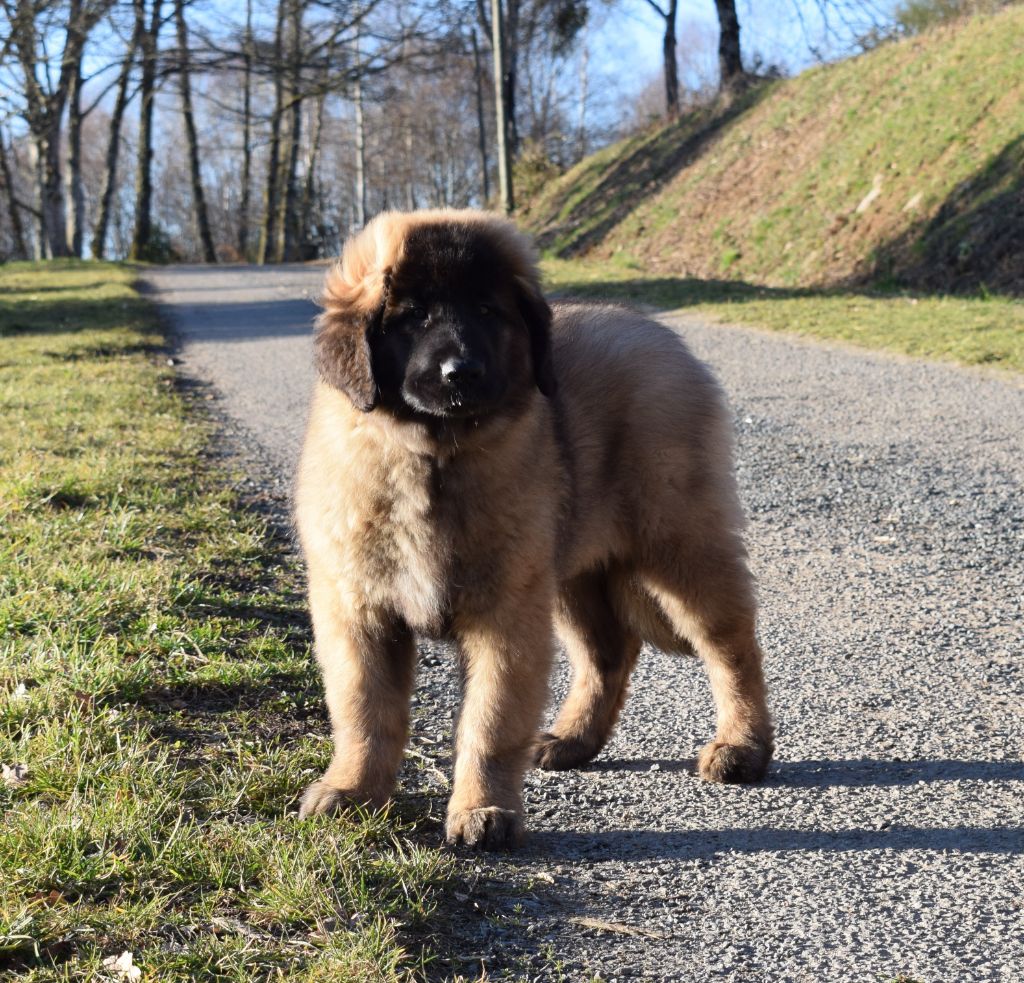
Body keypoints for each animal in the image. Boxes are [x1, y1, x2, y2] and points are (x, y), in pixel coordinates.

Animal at [292, 208, 770, 851]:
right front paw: (352, 791)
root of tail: (656, 334)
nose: (461, 371)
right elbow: (364, 713)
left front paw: (483, 810)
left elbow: (490, 724)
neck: (435, 456)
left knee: (730, 645)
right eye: (413, 315)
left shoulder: (508, 615)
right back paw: (574, 740)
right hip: (570, 571)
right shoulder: (359, 611)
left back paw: (743, 747)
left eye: (487, 310)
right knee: (608, 652)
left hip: (678, 544)